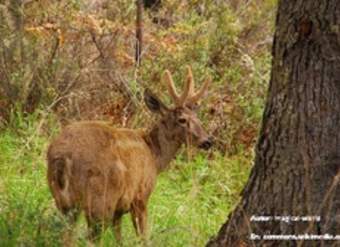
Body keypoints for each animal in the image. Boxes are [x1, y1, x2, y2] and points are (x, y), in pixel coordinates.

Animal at [47, 66, 212, 241]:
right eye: (182, 119)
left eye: (197, 118)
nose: (208, 141)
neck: (154, 155)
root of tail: (62, 157)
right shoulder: (140, 196)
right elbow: (144, 237)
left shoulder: (119, 210)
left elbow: (119, 238)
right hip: (100, 200)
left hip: (63, 201)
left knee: (66, 235)